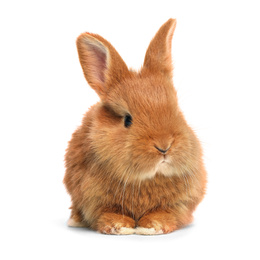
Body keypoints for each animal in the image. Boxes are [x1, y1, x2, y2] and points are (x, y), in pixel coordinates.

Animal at [63, 17, 207, 235]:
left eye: (177, 111)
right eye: (127, 120)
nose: (164, 146)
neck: (145, 179)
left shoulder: (179, 203)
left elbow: (165, 213)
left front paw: (152, 226)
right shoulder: (95, 200)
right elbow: (108, 212)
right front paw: (120, 226)